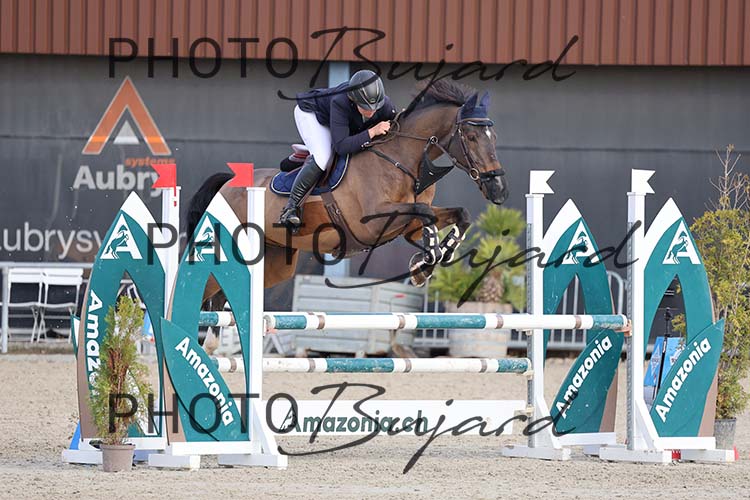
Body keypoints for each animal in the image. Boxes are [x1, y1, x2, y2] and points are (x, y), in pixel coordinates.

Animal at [186, 81, 508, 302]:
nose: (499, 191)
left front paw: (429, 261)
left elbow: (459, 215)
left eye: (494, 136)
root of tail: (227, 185)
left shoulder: (408, 225)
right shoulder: (372, 222)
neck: (403, 159)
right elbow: (425, 212)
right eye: (470, 136)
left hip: (276, 263)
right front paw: (425, 262)